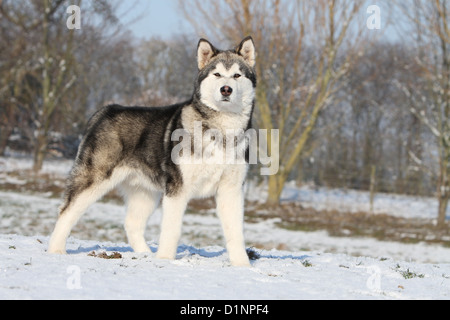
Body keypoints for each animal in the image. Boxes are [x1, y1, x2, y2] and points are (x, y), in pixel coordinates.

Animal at [48, 36, 256, 266]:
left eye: (237, 75)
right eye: (217, 74)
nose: (226, 89)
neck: (221, 130)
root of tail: (106, 110)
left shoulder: (231, 190)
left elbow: (236, 232)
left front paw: (242, 265)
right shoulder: (177, 189)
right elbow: (171, 230)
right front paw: (165, 259)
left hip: (145, 193)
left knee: (131, 223)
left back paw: (145, 254)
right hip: (93, 179)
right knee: (66, 212)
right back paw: (55, 250)